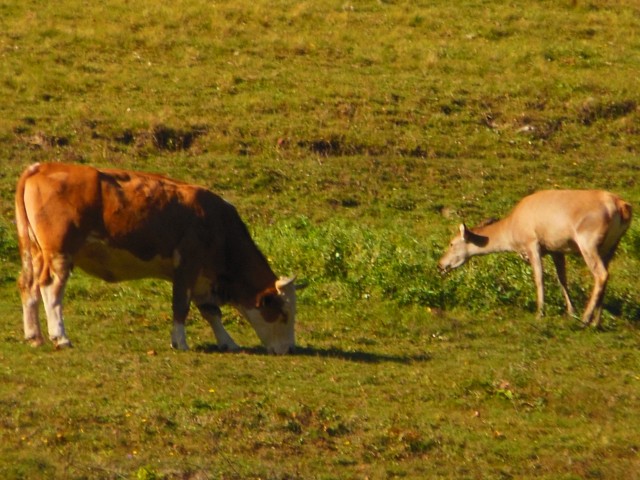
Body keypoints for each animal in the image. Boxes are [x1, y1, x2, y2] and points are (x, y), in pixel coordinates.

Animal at [14, 163, 300, 354]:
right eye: (284, 313)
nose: (289, 349)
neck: (217, 223)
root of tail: (42, 167)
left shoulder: (202, 276)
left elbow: (211, 312)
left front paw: (227, 341)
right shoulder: (187, 265)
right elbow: (181, 306)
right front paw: (180, 342)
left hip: (36, 252)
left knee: (28, 286)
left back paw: (33, 335)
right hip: (60, 253)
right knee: (51, 289)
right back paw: (60, 336)